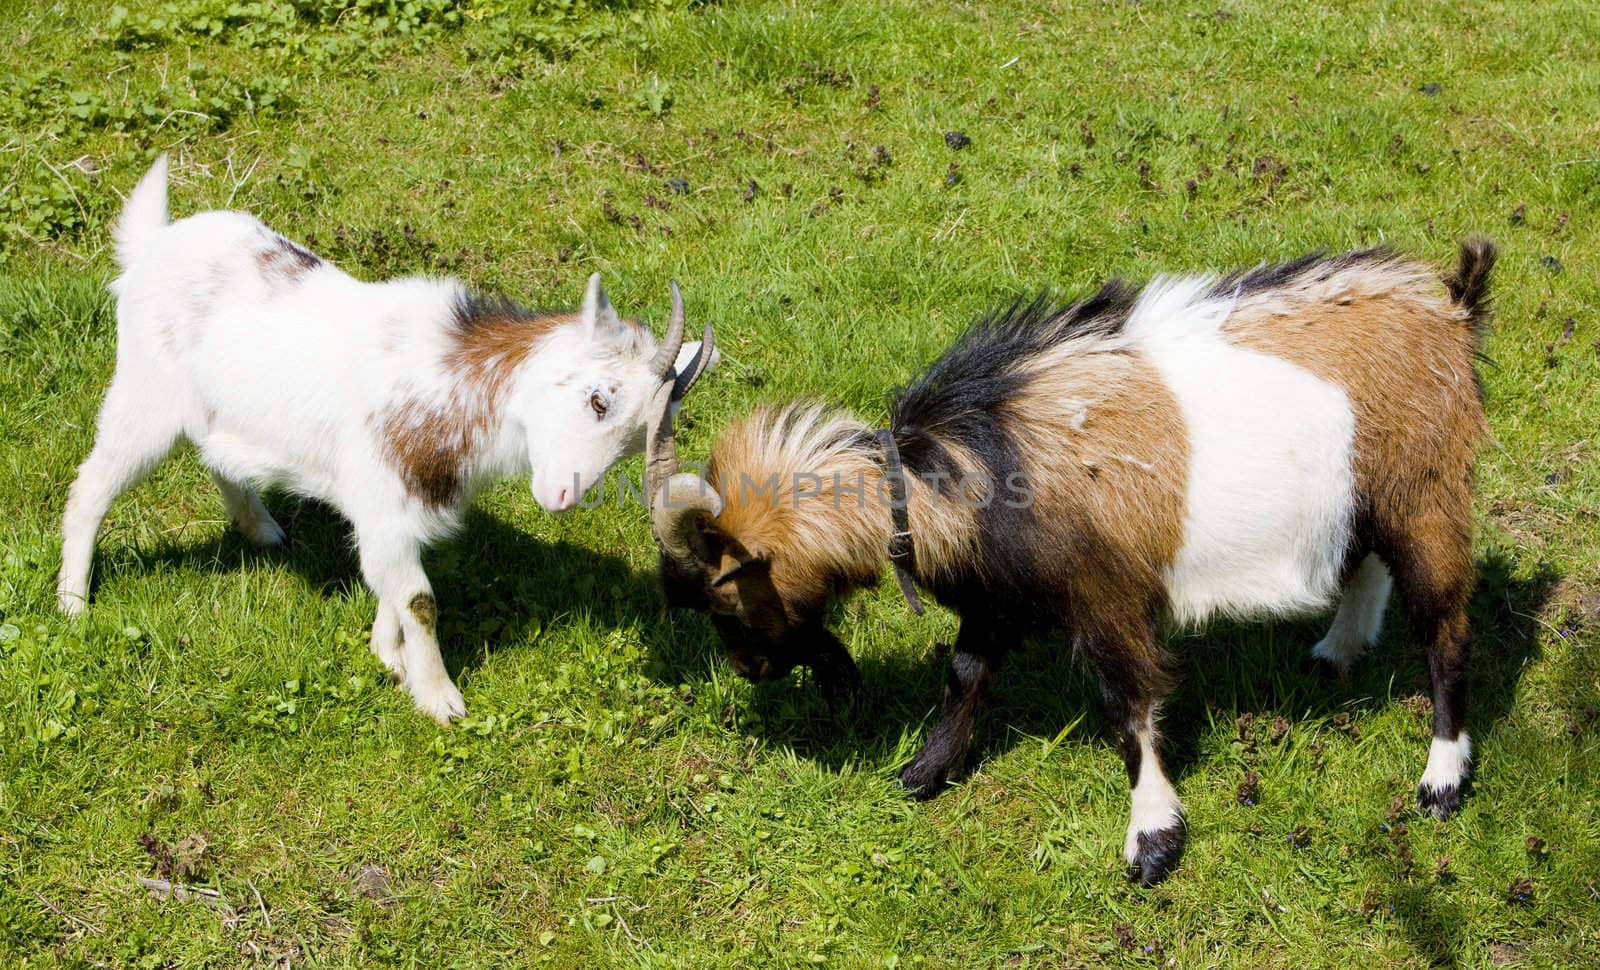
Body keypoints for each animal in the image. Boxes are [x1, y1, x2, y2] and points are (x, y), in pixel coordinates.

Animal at [59, 157, 716, 723]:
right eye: (598, 399)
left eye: (636, 441)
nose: (563, 497)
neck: (455, 380)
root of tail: (153, 246)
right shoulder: (382, 498)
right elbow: (420, 599)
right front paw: (440, 699)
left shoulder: (391, 516)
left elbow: (390, 587)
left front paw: (387, 654)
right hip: (145, 397)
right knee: (92, 486)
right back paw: (73, 604)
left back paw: (263, 531)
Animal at [643, 241, 1491, 883]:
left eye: (726, 595)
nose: (750, 669)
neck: (961, 469)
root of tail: (1452, 308)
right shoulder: (999, 595)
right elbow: (965, 673)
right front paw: (926, 771)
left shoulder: (1107, 598)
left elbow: (1129, 707)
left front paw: (1153, 841)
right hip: (1369, 496)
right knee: (1368, 563)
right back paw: (1336, 651)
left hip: (1429, 491)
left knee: (1445, 628)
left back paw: (1440, 782)